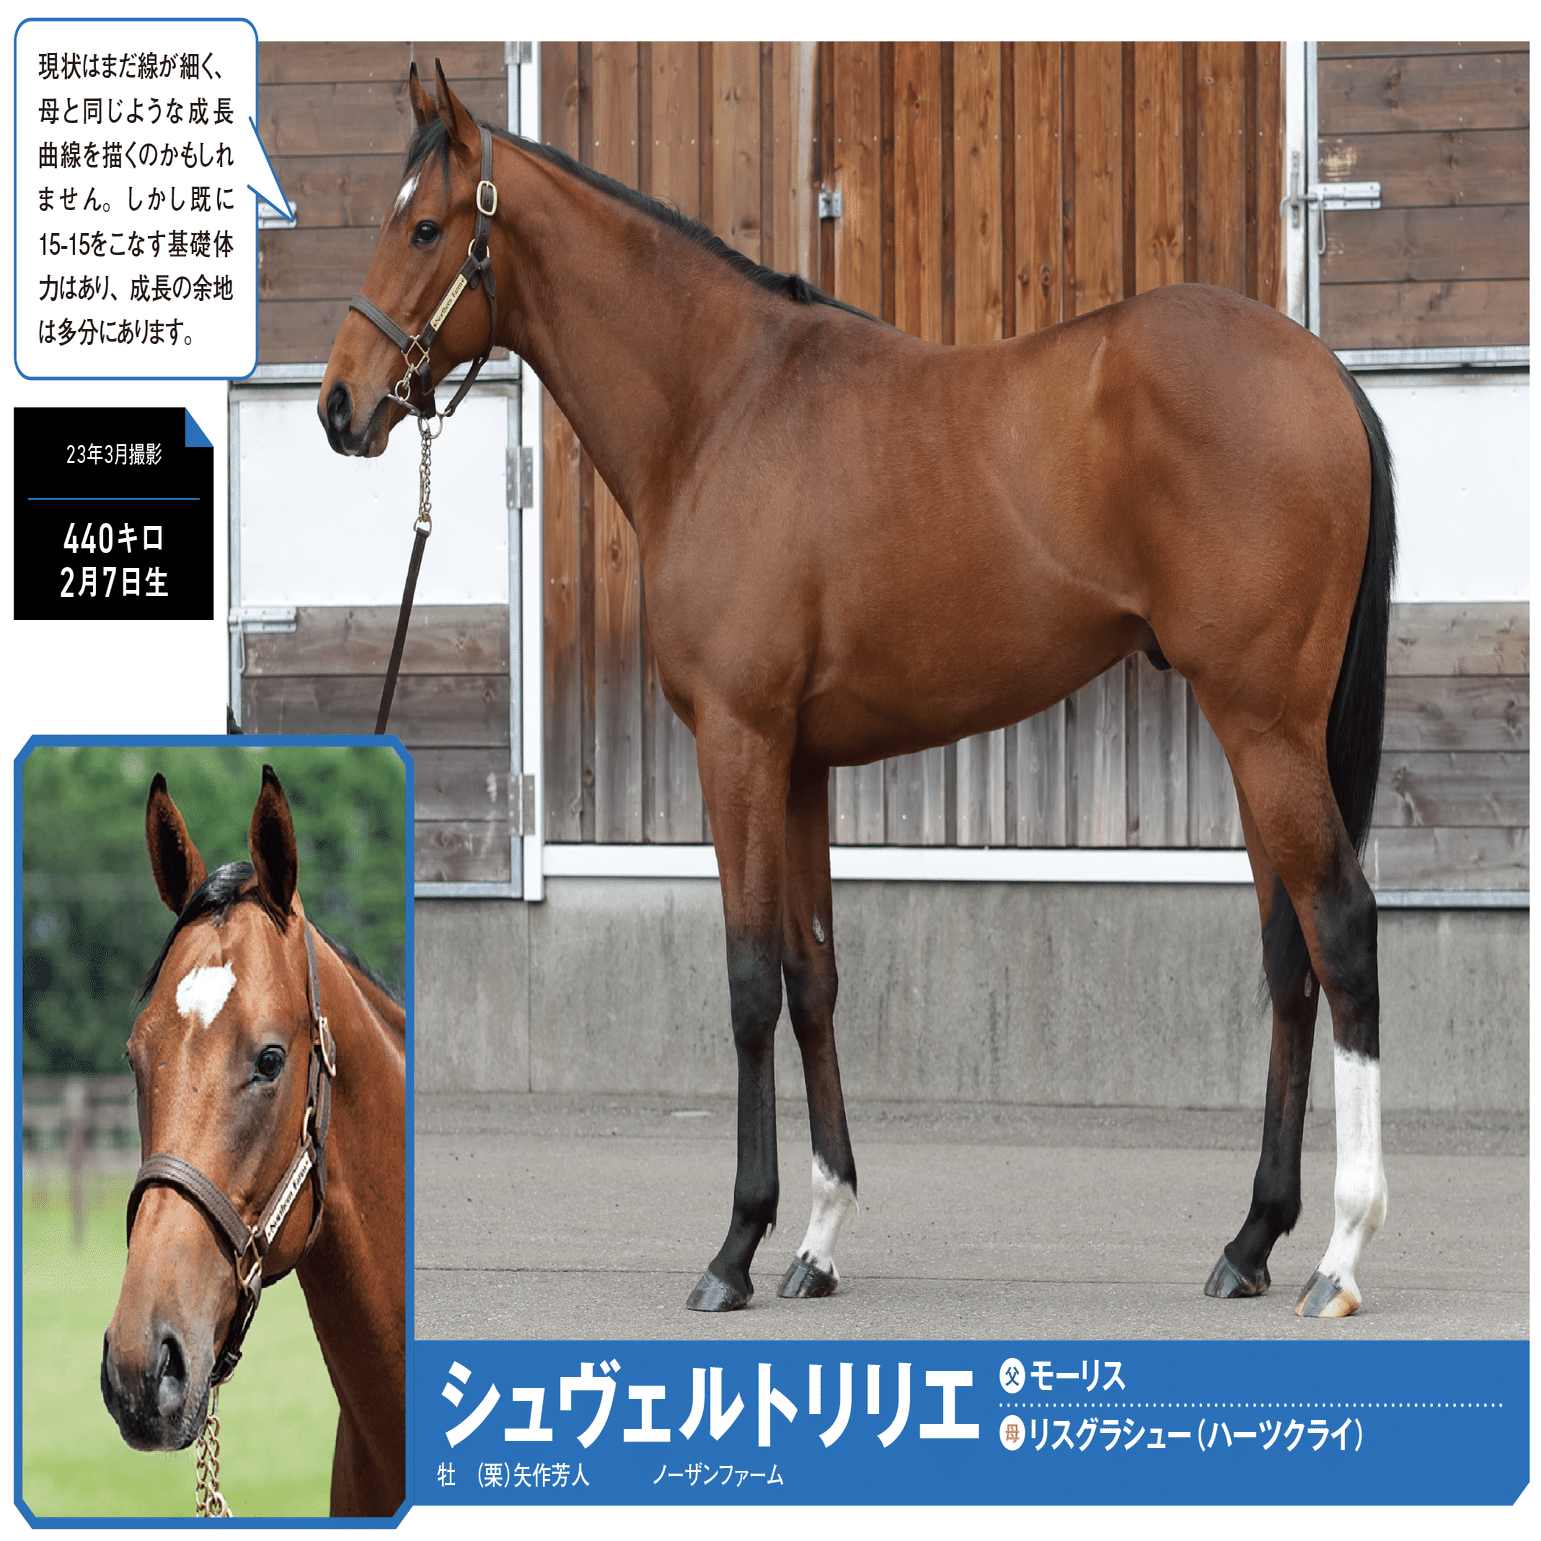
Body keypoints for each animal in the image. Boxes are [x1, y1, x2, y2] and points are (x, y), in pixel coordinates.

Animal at [321, 63, 1395, 1321]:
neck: (720, 405)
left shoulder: (735, 743)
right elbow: (812, 976)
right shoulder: (797, 761)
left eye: (424, 226)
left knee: (1339, 928)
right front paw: (817, 1236)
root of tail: (1324, 376)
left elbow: (747, 980)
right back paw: (1251, 1236)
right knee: (1288, 955)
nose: (338, 404)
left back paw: (1339, 1253)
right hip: (1259, 733)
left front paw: (734, 1244)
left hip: (1263, 725)